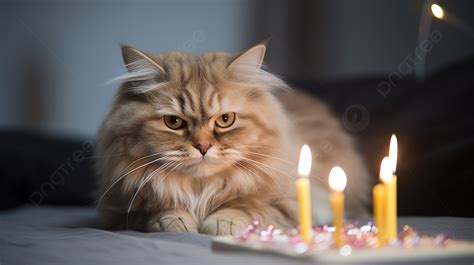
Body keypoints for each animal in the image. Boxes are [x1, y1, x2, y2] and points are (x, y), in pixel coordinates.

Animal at [95, 42, 370, 234]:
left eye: (225, 119)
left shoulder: (296, 202)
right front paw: (177, 220)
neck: (201, 190)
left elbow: (246, 208)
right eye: (174, 122)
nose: (203, 146)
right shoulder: (117, 210)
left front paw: (220, 223)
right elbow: (159, 211)